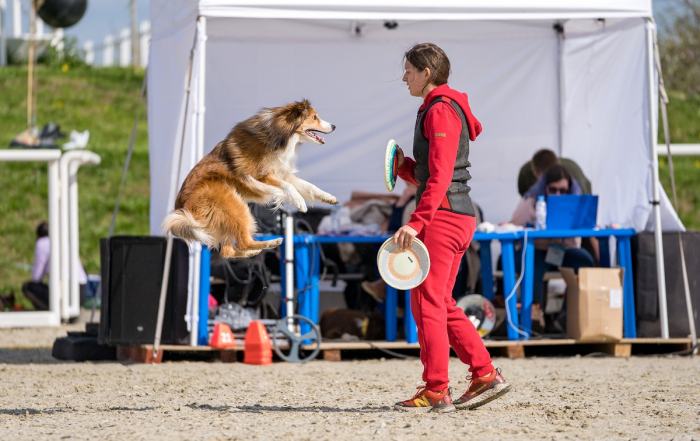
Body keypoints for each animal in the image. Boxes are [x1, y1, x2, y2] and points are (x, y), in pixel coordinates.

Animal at [164, 99, 340, 258]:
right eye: (314, 117)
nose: (334, 126)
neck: (279, 135)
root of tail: (182, 205)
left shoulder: (283, 174)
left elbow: (308, 186)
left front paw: (329, 197)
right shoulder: (260, 177)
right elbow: (289, 187)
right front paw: (300, 202)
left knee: (228, 251)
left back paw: (254, 251)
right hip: (235, 208)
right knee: (242, 242)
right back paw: (270, 243)